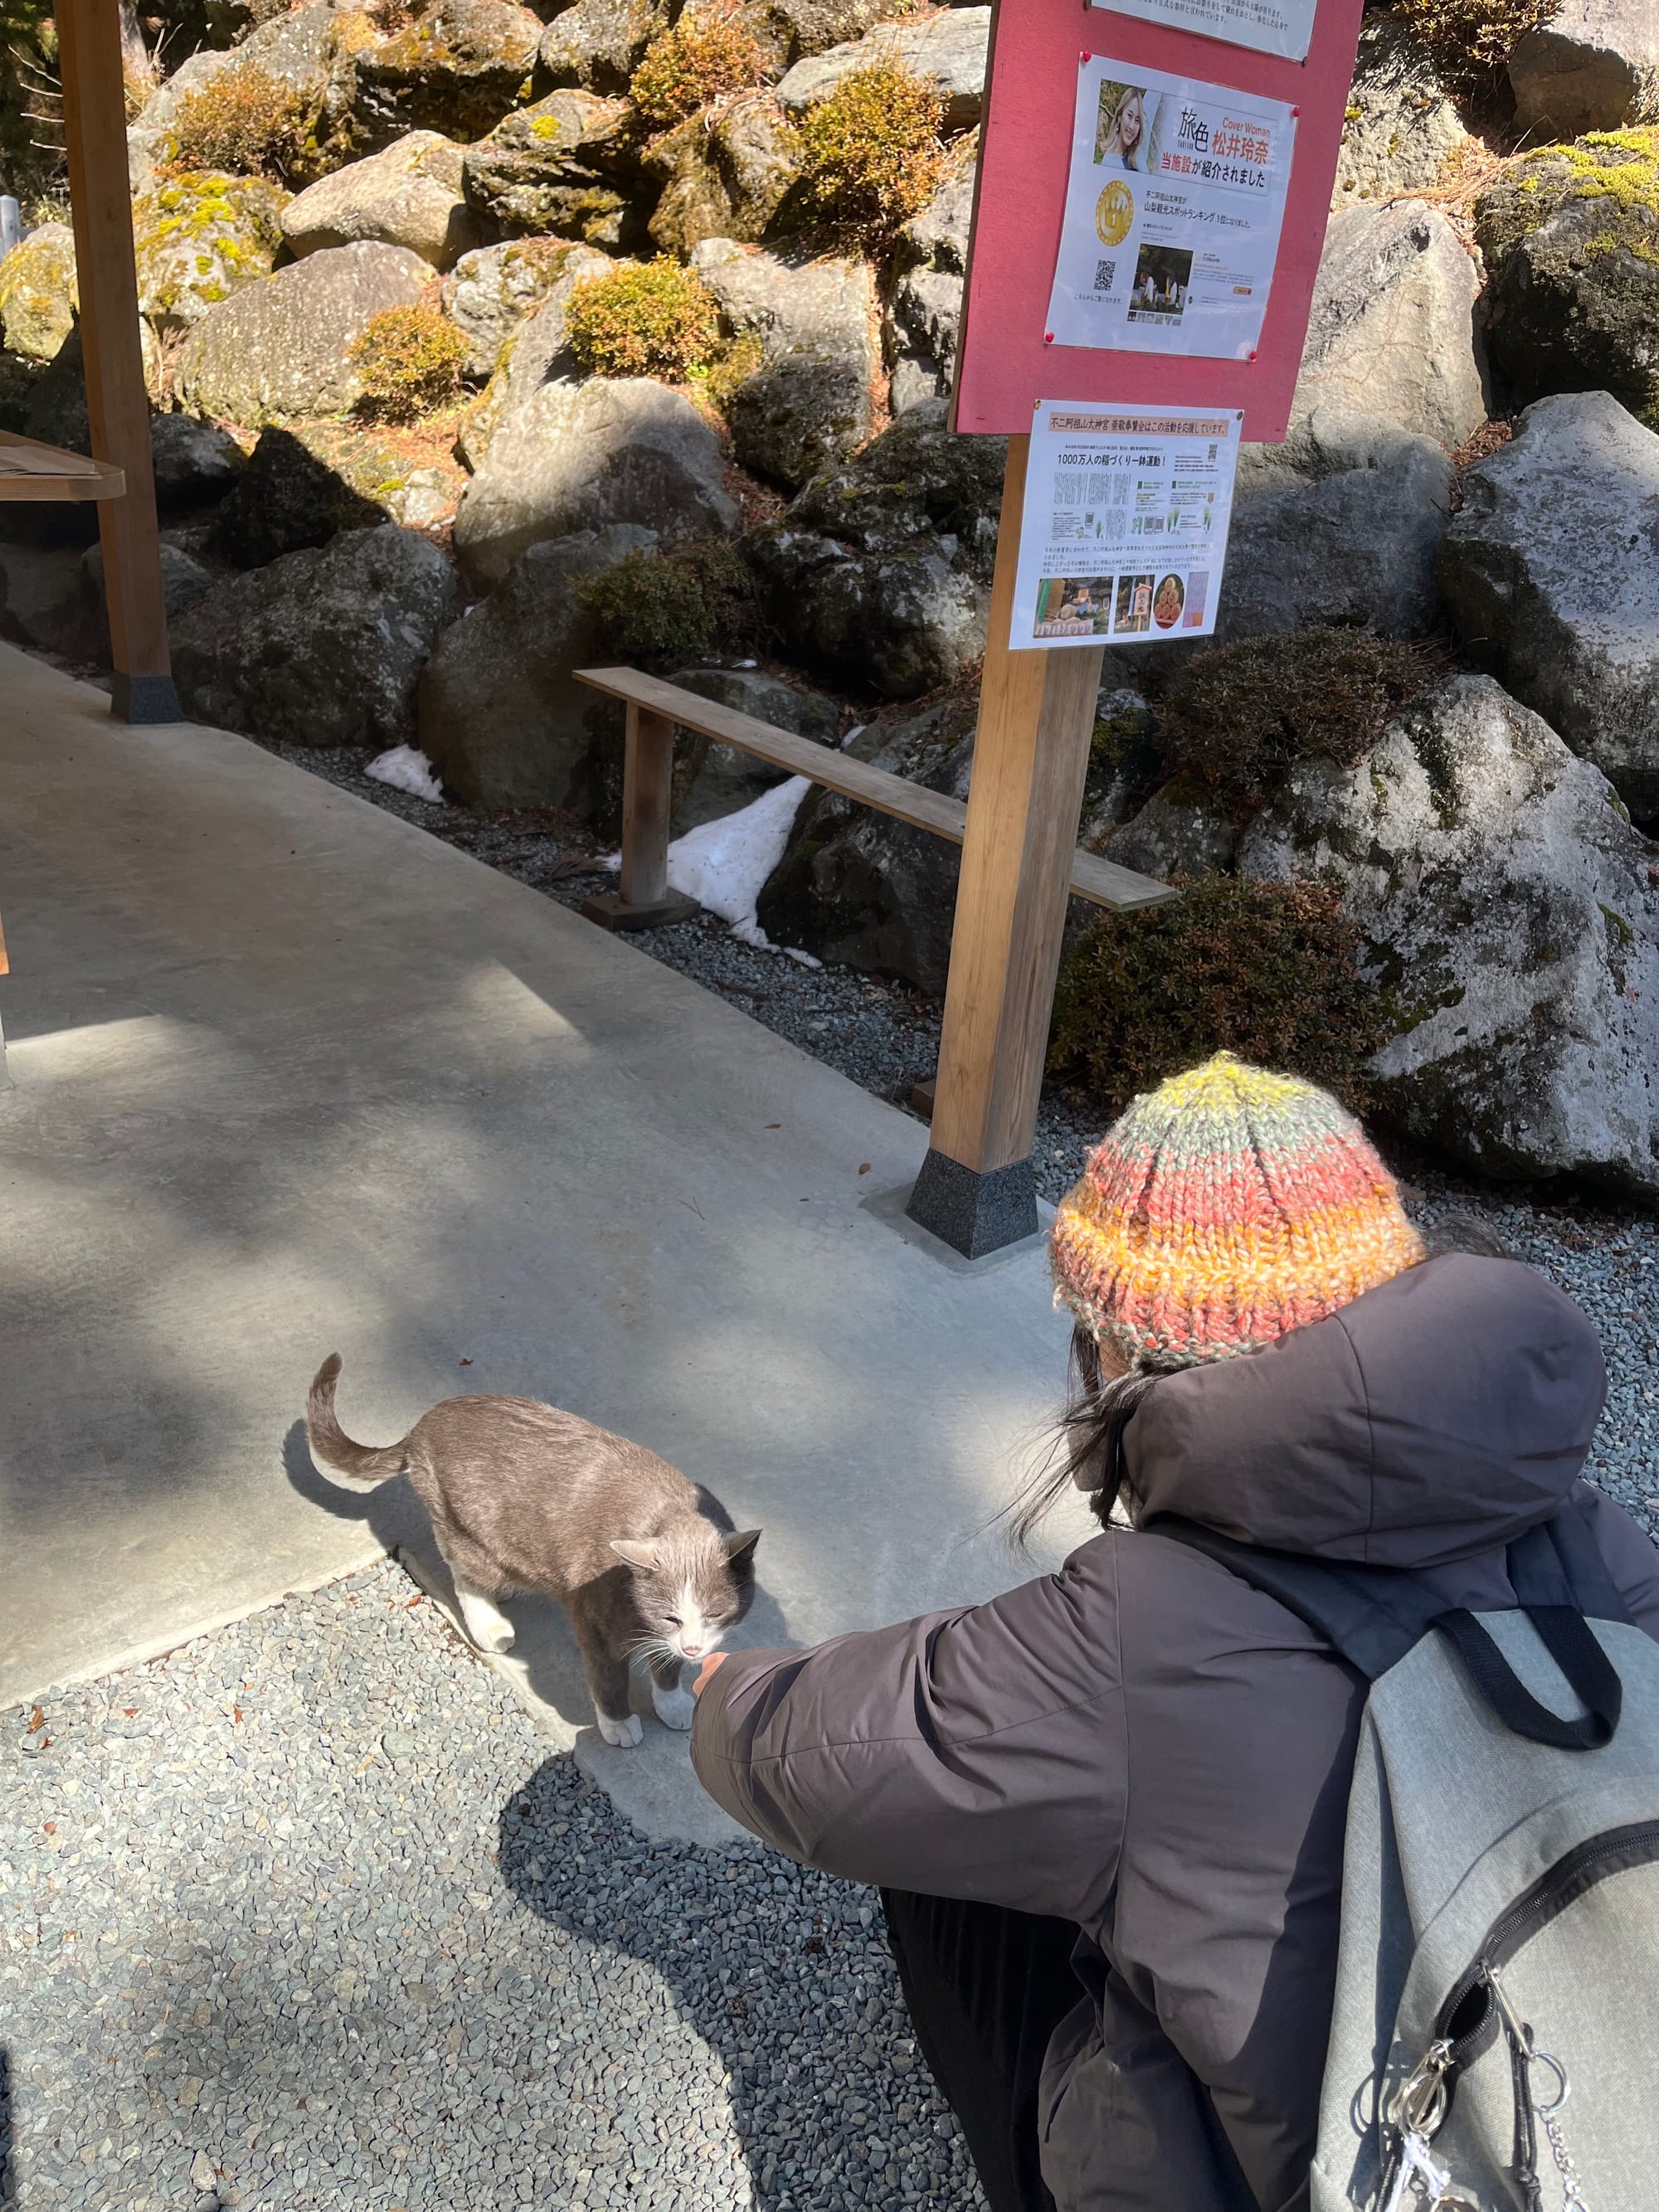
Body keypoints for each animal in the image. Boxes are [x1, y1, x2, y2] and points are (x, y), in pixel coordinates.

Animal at [305, 1344, 761, 1743]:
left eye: (716, 1613)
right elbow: (609, 1678)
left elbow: (666, 1668)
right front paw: (618, 1725)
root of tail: (423, 1423)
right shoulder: (594, 1624)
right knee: (461, 1570)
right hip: (472, 1532)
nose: (694, 1648)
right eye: (671, 1617)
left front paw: (672, 1703)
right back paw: (489, 1622)